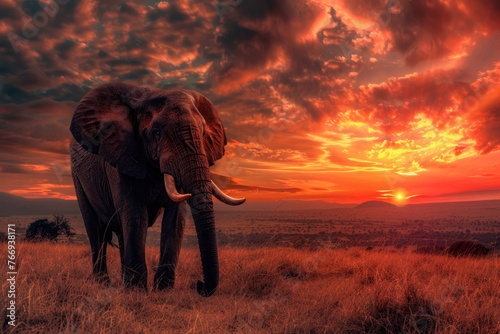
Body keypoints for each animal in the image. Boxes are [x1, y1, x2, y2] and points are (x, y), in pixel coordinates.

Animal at [68, 82, 244, 296]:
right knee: (95, 230)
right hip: (78, 178)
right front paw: (137, 290)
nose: (199, 284)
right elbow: (136, 216)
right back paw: (103, 284)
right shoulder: (121, 156)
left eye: (202, 133)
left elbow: (175, 220)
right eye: (157, 133)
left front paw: (162, 290)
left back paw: (123, 281)